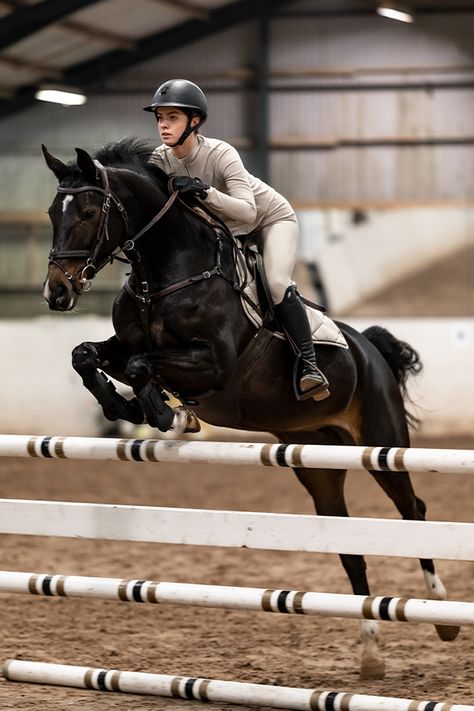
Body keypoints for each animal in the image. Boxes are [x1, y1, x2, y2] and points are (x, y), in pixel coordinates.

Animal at [41, 138, 460, 680]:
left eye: (90, 212)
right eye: (53, 212)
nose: (57, 292)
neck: (165, 272)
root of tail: (368, 347)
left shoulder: (212, 363)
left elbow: (140, 364)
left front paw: (162, 411)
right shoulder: (126, 344)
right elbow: (88, 355)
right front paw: (125, 405)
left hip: (381, 443)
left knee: (413, 511)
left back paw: (442, 615)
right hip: (317, 459)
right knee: (350, 543)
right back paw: (370, 654)